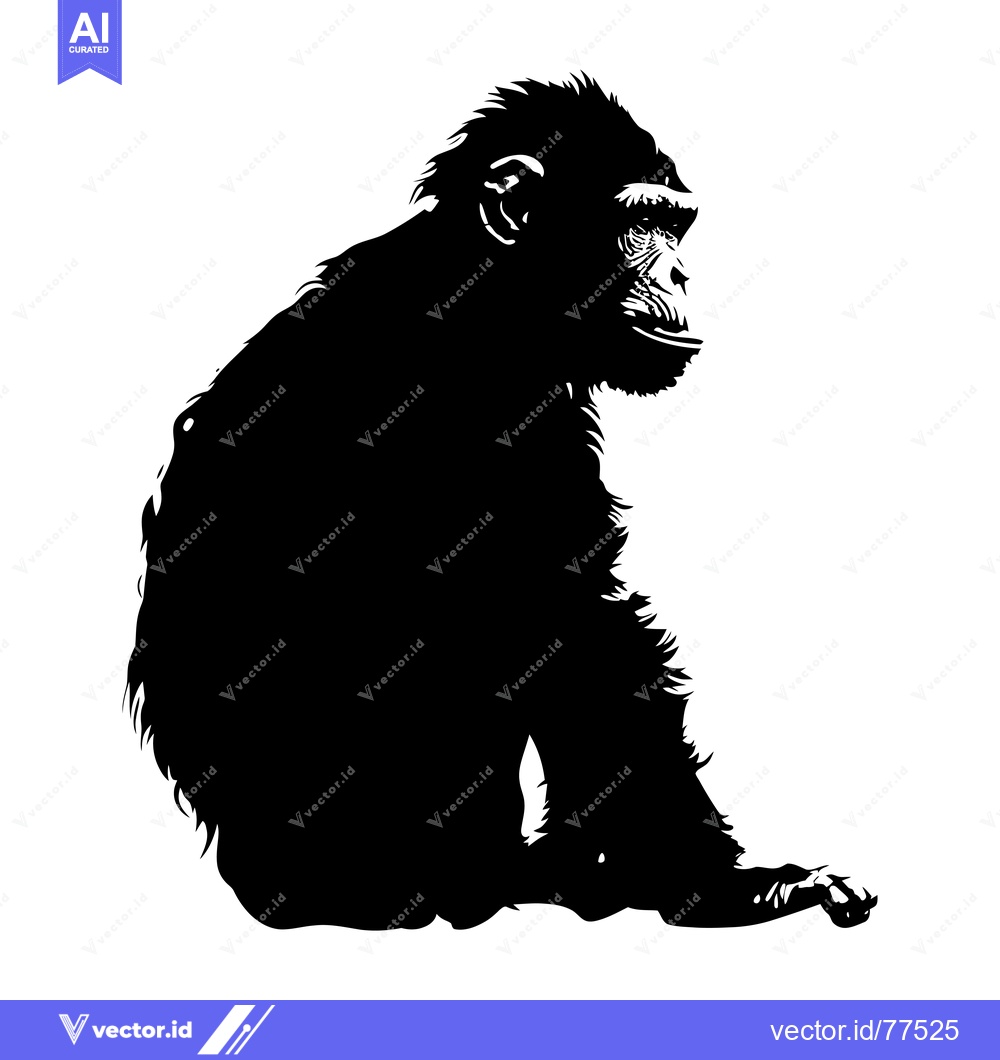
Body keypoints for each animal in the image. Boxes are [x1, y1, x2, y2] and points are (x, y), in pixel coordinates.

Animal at [127, 75, 876, 931]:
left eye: (676, 225)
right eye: (640, 221)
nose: (684, 277)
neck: (493, 288)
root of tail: (257, 878)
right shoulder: (485, 391)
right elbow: (554, 609)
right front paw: (711, 880)